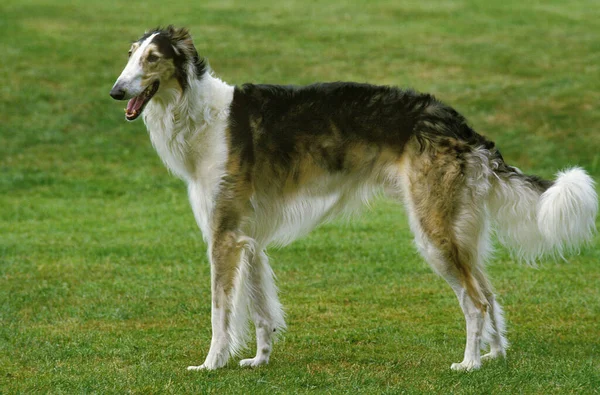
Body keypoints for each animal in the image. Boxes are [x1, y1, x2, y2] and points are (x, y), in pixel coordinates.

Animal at [110, 26, 596, 372]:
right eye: (130, 53)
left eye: (153, 58)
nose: (116, 91)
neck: (202, 117)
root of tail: (459, 124)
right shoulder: (249, 238)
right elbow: (262, 308)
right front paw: (259, 359)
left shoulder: (224, 236)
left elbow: (220, 312)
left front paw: (211, 364)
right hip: (459, 230)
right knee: (490, 294)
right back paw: (495, 356)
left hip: (433, 231)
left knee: (475, 301)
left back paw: (470, 364)